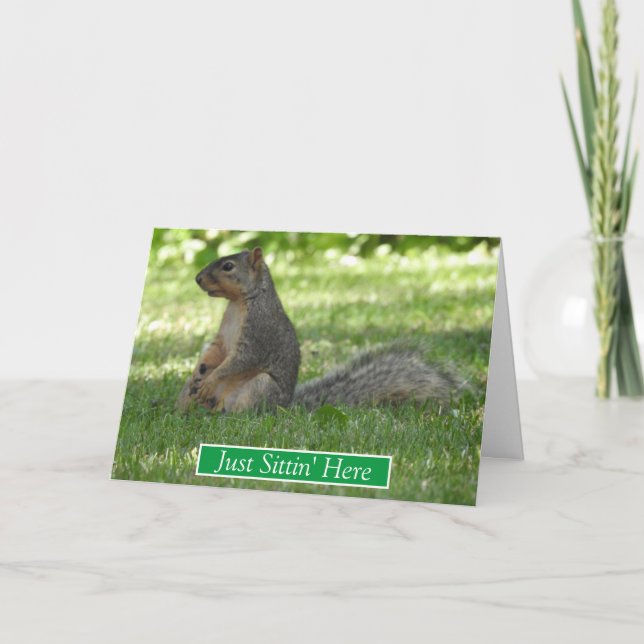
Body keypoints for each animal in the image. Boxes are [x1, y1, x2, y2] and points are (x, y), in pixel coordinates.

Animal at [177, 247, 458, 413]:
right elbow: (214, 352)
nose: (197, 279)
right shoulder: (223, 336)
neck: (239, 303)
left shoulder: (258, 334)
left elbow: (239, 361)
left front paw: (211, 379)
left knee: (241, 411)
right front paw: (201, 372)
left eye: (228, 266)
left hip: (260, 388)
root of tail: (285, 408)